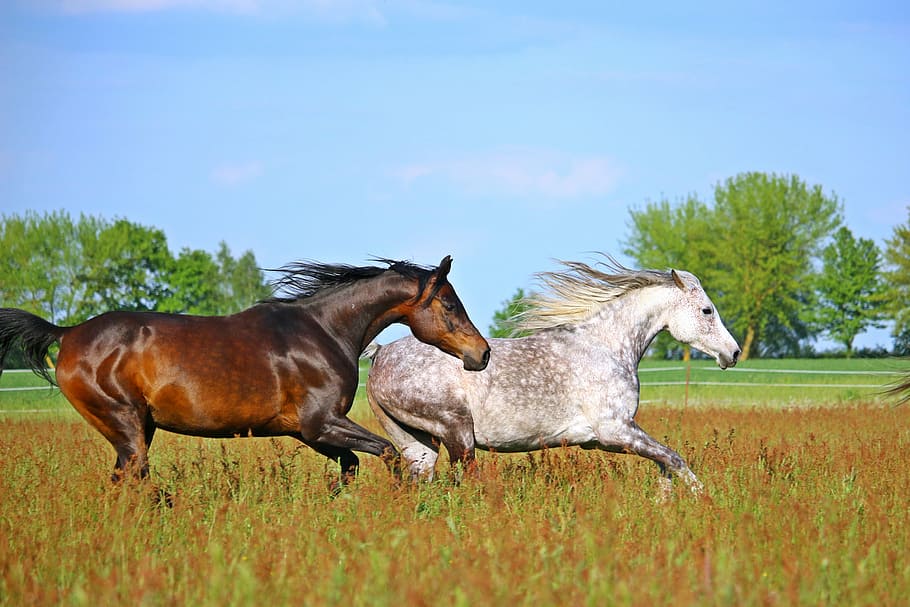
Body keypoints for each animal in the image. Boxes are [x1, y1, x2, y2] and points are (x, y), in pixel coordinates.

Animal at [0, 256, 490, 487]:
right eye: (450, 304)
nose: (482, 353)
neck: (324, 331)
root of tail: (68, 333)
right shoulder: (321, 423)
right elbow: (388, 453)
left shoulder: (305, 431)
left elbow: (350, 466)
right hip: (125, 424)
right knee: (136, 477)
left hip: (138, 428)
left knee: (125, 478)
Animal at [365, 256, 740, 494]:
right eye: (707, 310)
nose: (733, 353)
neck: (605, 346)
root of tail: (380, 353)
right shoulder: (615, 431)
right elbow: (674, 459)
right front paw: (703, 500)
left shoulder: (606, 438)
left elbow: (665, 463)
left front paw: (665, 502)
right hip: (457, 432)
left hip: (418, 443)